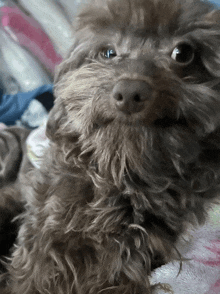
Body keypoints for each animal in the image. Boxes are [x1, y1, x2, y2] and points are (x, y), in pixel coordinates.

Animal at [1, 0, 220, 292]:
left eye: (183, 53)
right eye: (108, 52)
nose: (130, 92)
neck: (122, 170)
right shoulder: (44, 234)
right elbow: (35, 275)